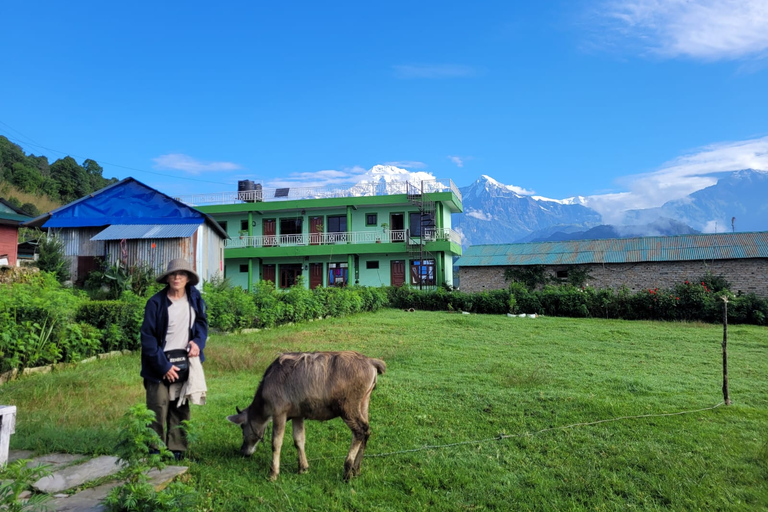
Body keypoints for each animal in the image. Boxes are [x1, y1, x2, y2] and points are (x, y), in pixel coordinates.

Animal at [226, 350, 384, 478]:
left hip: (348, 407)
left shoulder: (279, 413)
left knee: (359, 431)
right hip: (363, 403)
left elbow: (276, 443)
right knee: (366, 431)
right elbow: (299, 439)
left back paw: (347, 470)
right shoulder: (298, 415)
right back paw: (356, 469)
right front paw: (303, 468)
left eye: (242, 427)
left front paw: (273, 473)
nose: (243, 450)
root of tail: (371, 361)